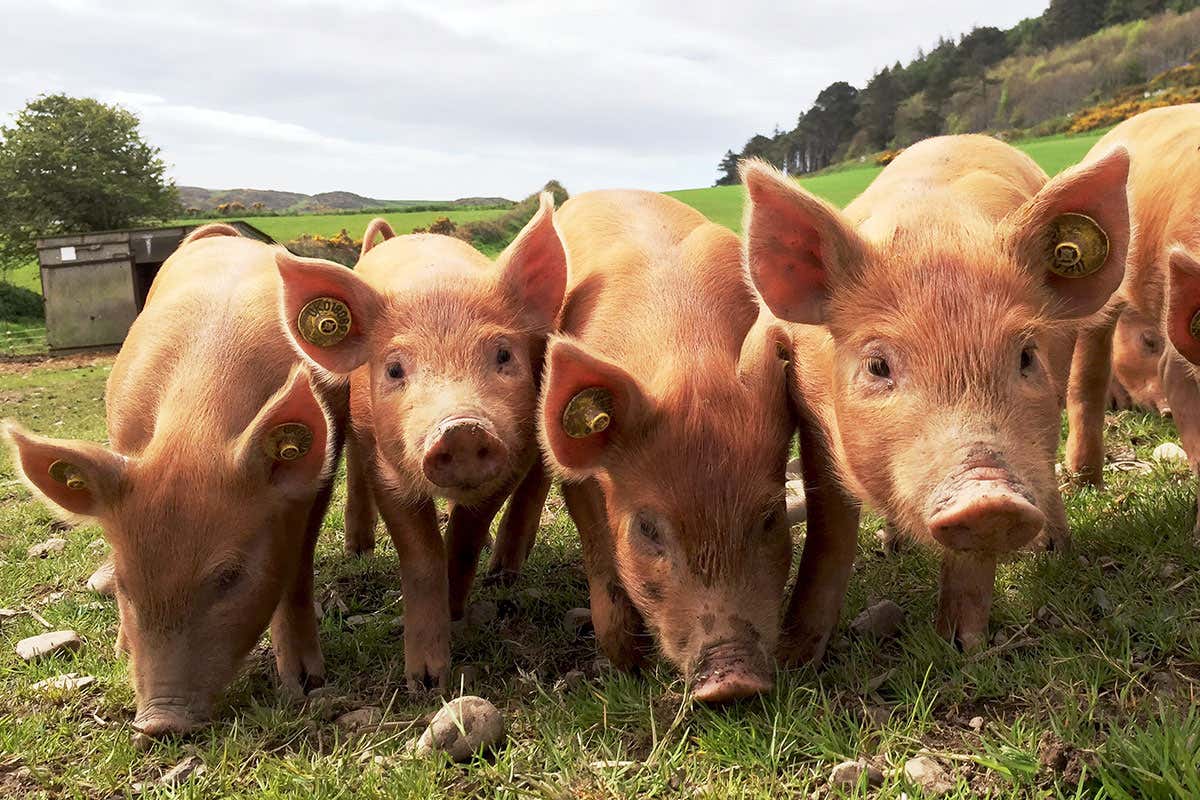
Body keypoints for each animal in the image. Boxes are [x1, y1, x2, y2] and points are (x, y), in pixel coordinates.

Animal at [3, 224, 348, 736]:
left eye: (229, 575)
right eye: (126, 583)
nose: (159, 723)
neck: (194, 430)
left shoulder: (316, 485)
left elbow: (296, 572)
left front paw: (306, 684)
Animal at [274, 195, 566, 691]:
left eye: (503, 354)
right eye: (394, 369)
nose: (463, 428)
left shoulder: (513, 459)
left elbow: (465, 539)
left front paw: (456, 612)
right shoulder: (388, 469)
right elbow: (422, 555)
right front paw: (426, 684)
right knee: (355, 464)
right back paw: (359, 550)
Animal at [537, 190, 795, 702]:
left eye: (771, 517)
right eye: (647, 528)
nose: (732, 677)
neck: (686, 355)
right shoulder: (577, 484)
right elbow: (602, 562)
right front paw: (628, 666)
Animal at [743, 134, 1131, 651]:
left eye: (1026, 355)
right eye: (878, 365)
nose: (988, 492)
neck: (931, 230)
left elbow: (973, 559)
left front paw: (963, 647)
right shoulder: (812, 412)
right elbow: (830, 532)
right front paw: (796, 656)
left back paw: (1055, 551)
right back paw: (892, 545)